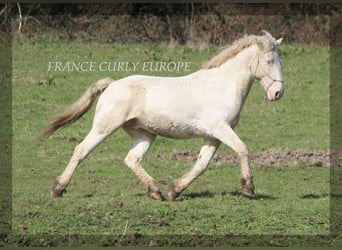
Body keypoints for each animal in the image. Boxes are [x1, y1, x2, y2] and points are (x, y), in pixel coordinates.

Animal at [39, 30, 284, 201]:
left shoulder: (213, 136)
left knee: (132, 159)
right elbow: (243, 149)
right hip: (104, 127)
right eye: (269, 61)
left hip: (144, 134)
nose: (277, 93)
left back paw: (156, 191)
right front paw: (249, 188)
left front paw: (175, 190)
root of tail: (112, 85)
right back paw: (58, 189)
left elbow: (202, 164)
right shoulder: (220, 128)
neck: (221, 86)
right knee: (81, 150)